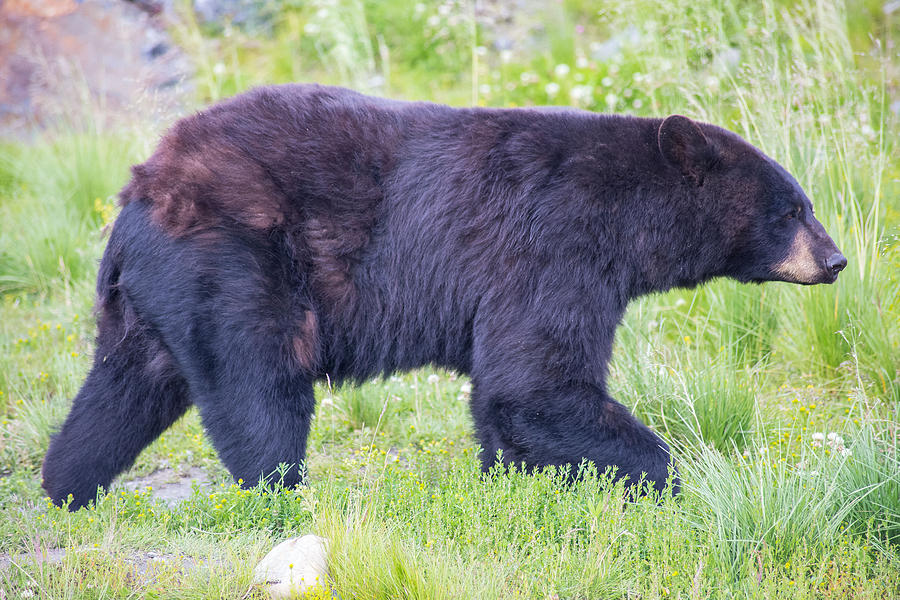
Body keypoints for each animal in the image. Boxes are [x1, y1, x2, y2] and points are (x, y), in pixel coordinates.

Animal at [40, 82, 844, 508]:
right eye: (791, 209)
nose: (835, 260)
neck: (627, 213)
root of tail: (140, 189)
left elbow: (505, 397)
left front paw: (513, 486)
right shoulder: (554, 247)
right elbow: (536, 381)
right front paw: (686, 481)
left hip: (154, 296)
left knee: (125, 387)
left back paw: (68, 486)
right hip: (236, 259)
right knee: (258, 385)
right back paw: (282, 496)